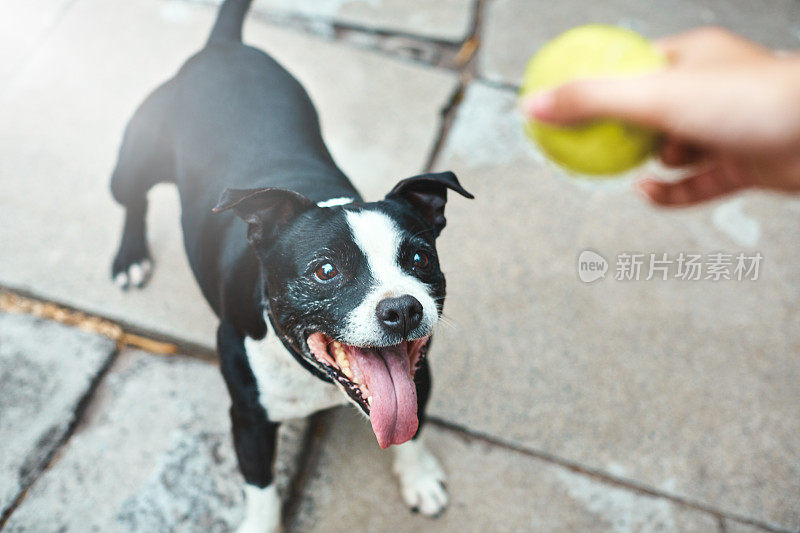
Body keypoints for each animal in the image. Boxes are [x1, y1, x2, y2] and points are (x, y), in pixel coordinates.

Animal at [109, 0, 472, 528]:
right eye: (325, 271)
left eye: (420, 258)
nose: (402, 309)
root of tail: (224, 47)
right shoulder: (249, 420)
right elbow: (261, 488)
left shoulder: (418, 375)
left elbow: (414, 430)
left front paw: (419, 476)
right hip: (133, 161)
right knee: (132, 199)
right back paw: (131, 256)